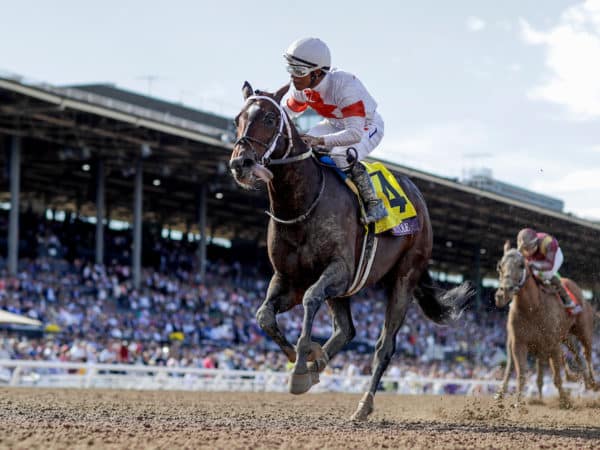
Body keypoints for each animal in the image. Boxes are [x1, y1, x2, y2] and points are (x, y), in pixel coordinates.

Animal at [230, 81, 474, 422]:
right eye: (237, 118)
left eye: (268, 118)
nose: (241, 164)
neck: (302, 202)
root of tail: (421, 203)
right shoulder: (288, 278)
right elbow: (264, 315)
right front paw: (302, 358)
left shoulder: (339, 270)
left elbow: (310, 300)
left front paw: (301, 366)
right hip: (343, 291)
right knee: (346, 330)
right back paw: (318, 364)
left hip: (403, 277)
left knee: (384, 345)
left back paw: (363, 404)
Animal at [494, 241, 596, 406]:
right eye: (500, 266)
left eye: (521, 265)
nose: (503, 293)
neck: (533, 308)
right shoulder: (519, 343)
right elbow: (521, 374)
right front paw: (518, 403)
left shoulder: (552, 344)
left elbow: (557, 377)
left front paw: (565, 401)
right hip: (566, 338)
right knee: (577, 356)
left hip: (584, 331)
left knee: (587, 355)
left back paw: (592, 383)